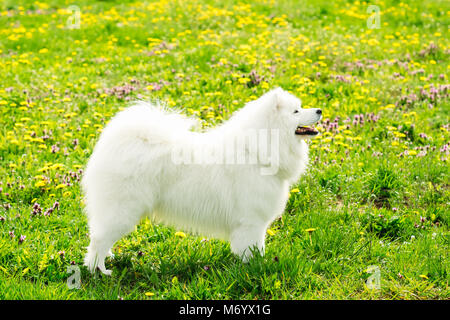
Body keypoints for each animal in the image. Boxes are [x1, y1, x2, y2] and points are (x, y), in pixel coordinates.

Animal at [82, 87, 322, 276]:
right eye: (296, 111)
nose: (320, 110)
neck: (256, 151)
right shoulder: (251, 222)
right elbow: (252, 250)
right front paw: (255, 268)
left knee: (100, 236)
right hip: (122, 210)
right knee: (98, 240)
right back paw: (99, 271)